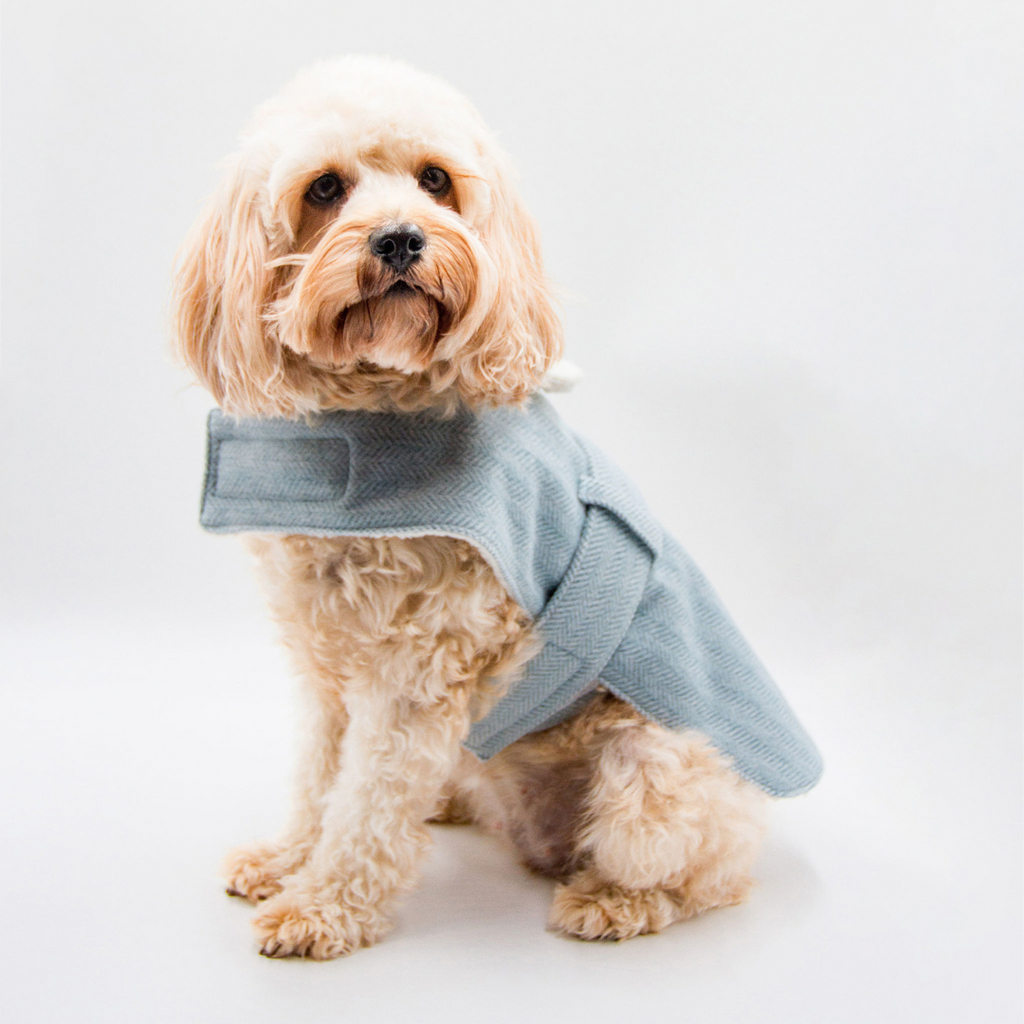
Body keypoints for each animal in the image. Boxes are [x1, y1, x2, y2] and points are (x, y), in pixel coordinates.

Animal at [169, 56, 823, 958]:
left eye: (436, 180)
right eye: (325, 187)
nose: (401, 238)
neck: (369, 422)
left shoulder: (416, 675)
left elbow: (367, 804)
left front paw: (324, 905)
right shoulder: (325, 664)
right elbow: (319, 777)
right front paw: (288, 858)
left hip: (655, 769)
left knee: (709, 875)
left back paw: (614, 902)